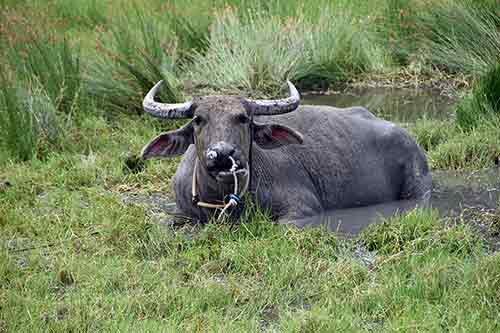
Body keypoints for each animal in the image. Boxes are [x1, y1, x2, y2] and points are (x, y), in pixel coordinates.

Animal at [141, 81, 430, 223]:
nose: (222, 154)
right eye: (199, 119)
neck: (220, 199)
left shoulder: (303, 209)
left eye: (243, 118)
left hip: (418, 188)